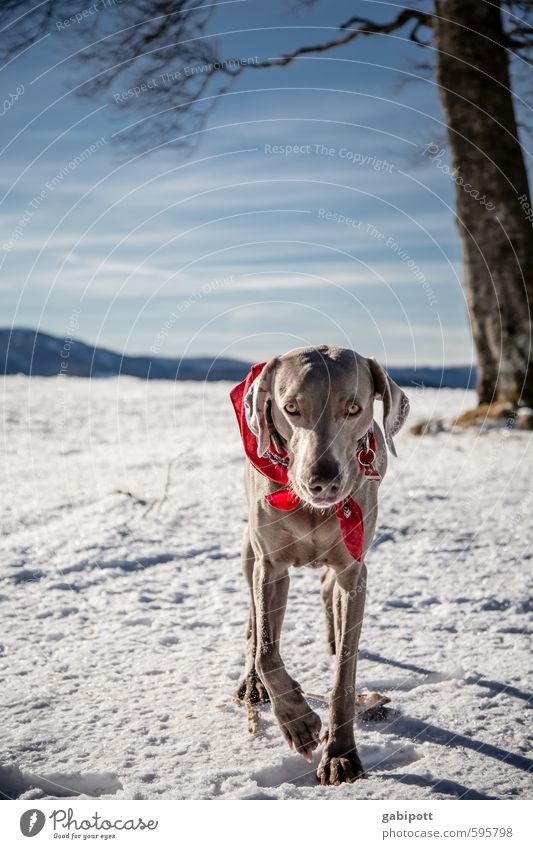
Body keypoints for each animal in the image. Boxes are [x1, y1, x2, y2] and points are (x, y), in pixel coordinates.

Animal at [229, 348, 408, 784]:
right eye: (291, 408)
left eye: (354, 409)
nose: (322, 480)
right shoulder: (270, 565)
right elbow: (267, 649)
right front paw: (298, 722)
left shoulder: (353, 571)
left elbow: (346, 668)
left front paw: (340, 755)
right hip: (248, 550)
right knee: (253, 624)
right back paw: (252, 685)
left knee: (328, 591)